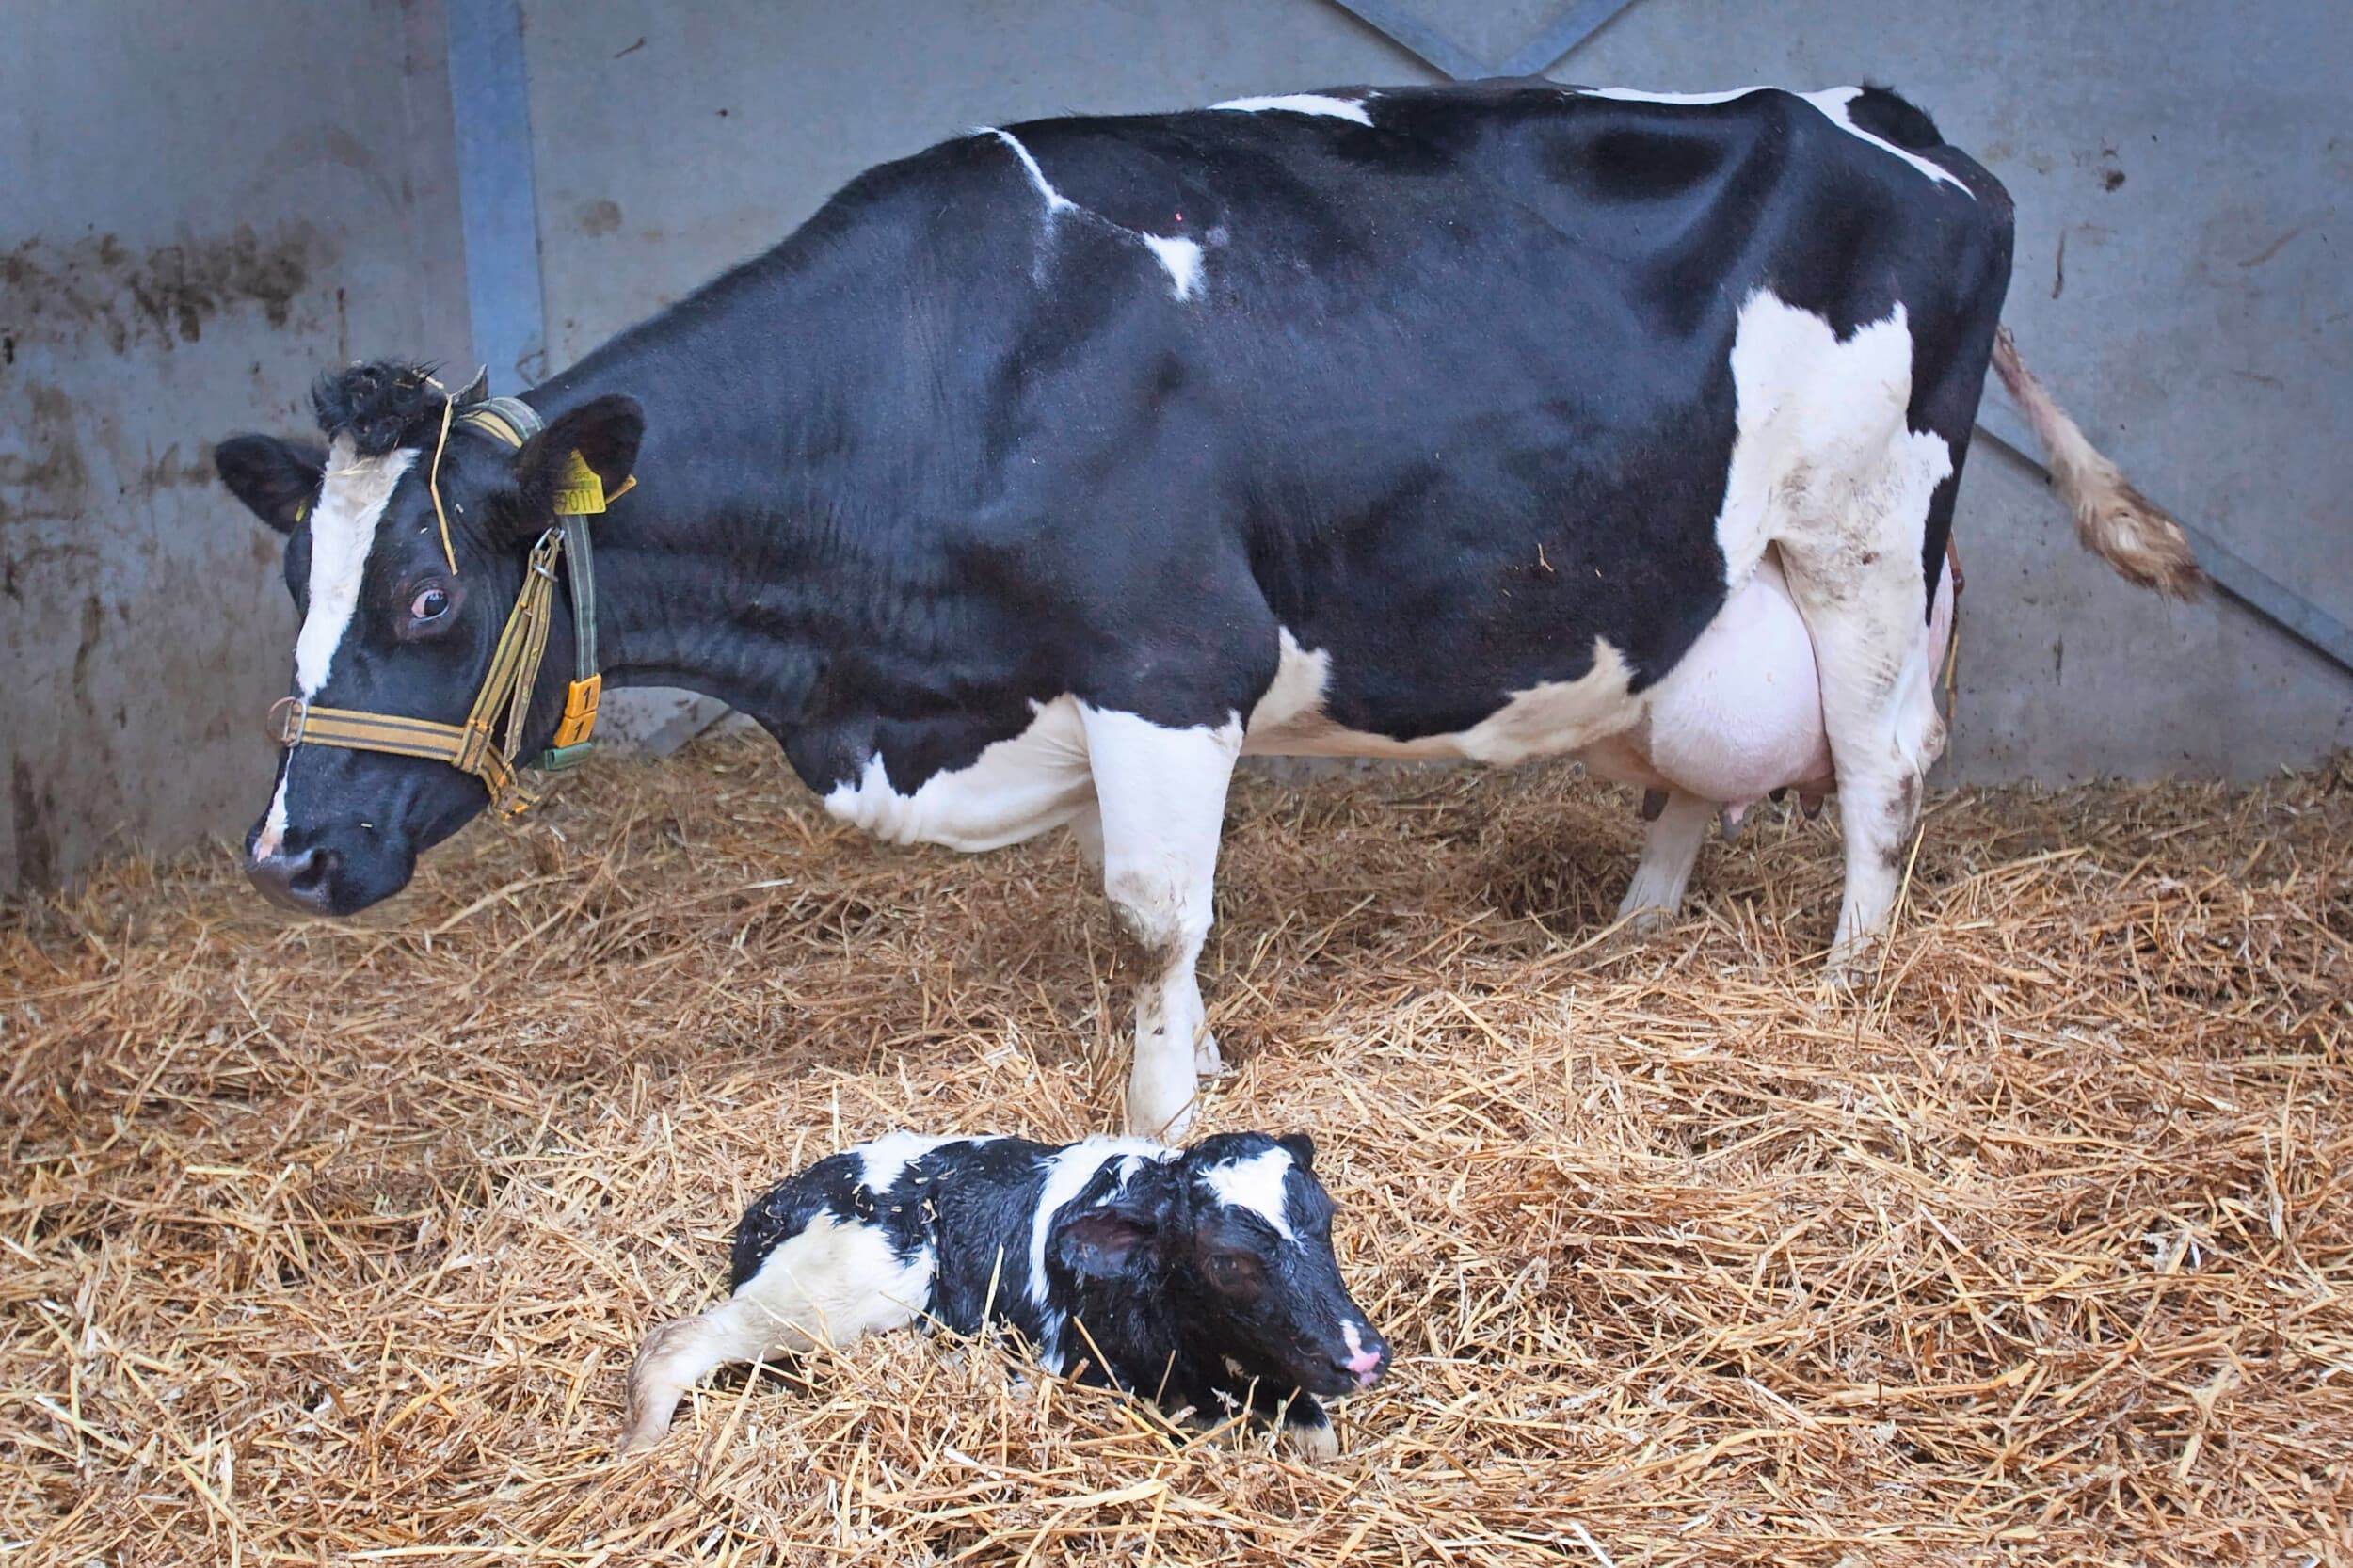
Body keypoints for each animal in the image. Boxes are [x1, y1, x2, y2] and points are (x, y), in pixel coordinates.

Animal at [212, 80, 2200, 1140]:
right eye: (297, 584)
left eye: (422, 592)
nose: (284, 857)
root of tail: (1891, 116)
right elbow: (1167, 916)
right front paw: (1205, 1063)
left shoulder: (1167, 657)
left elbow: (1151, 914)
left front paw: (1163, 1116)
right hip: (1704, 575)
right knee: (1701, 766)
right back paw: (1633, 938)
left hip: (1866, 529)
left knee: (1885, 760)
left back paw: (1851, 986)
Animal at [616, 1129, 1388, 1460]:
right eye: (1227, 1261)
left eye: (1326, 1219)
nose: (1364, 1357)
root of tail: (775, 1206)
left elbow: (1317, 1432)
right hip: (814, 1304)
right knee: (671, 1343)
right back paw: (640, 1447)